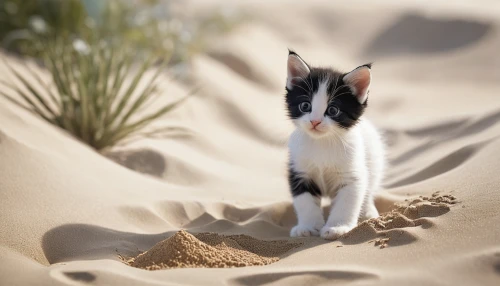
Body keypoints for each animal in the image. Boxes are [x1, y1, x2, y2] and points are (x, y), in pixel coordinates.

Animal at [284, 50, 384, 239]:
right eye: (305, 105)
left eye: (332, 110)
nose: (315, 121)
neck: (322, 142)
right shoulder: (299, 171)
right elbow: (304, 201)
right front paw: (307, 226)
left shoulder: (352, 174)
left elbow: (348, 201)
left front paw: (338, 227)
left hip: (374, 161)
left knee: (369, 189)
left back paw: (368, 212)